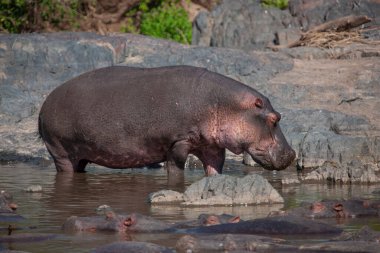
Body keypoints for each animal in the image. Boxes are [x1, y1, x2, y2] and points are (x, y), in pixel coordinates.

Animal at [37, 65, 294, 178]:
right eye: (275, 118)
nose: (292, 154)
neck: (224, 105)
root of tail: (46, 102)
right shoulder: (177, 143)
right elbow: (176, 168)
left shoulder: (212, 146)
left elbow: (214, 169)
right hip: (60, 151)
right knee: (65, 170)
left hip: (80, 155)